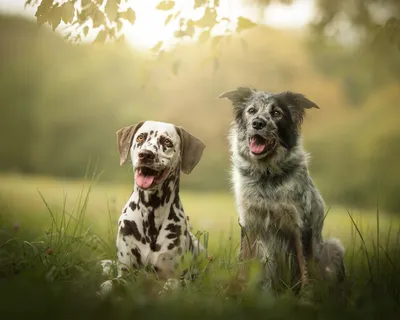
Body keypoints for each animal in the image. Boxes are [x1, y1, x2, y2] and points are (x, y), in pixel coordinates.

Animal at [99, 120, 206, 298]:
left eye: (167, 142)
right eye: (140, 137)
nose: (146, 154)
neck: (151, 210)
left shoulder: (174, 276)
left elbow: (170, 286)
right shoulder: (126, 273)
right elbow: (109, 284)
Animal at [217, 86, 346, 292]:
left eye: (277, 113)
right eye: (251, 110)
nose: (258, 123)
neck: (266, 175)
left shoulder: (300, 224)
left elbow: (303, 265)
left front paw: (306, 294)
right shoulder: (249, 223)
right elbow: (244, 262)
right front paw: (240, 290)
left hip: (333, 246)